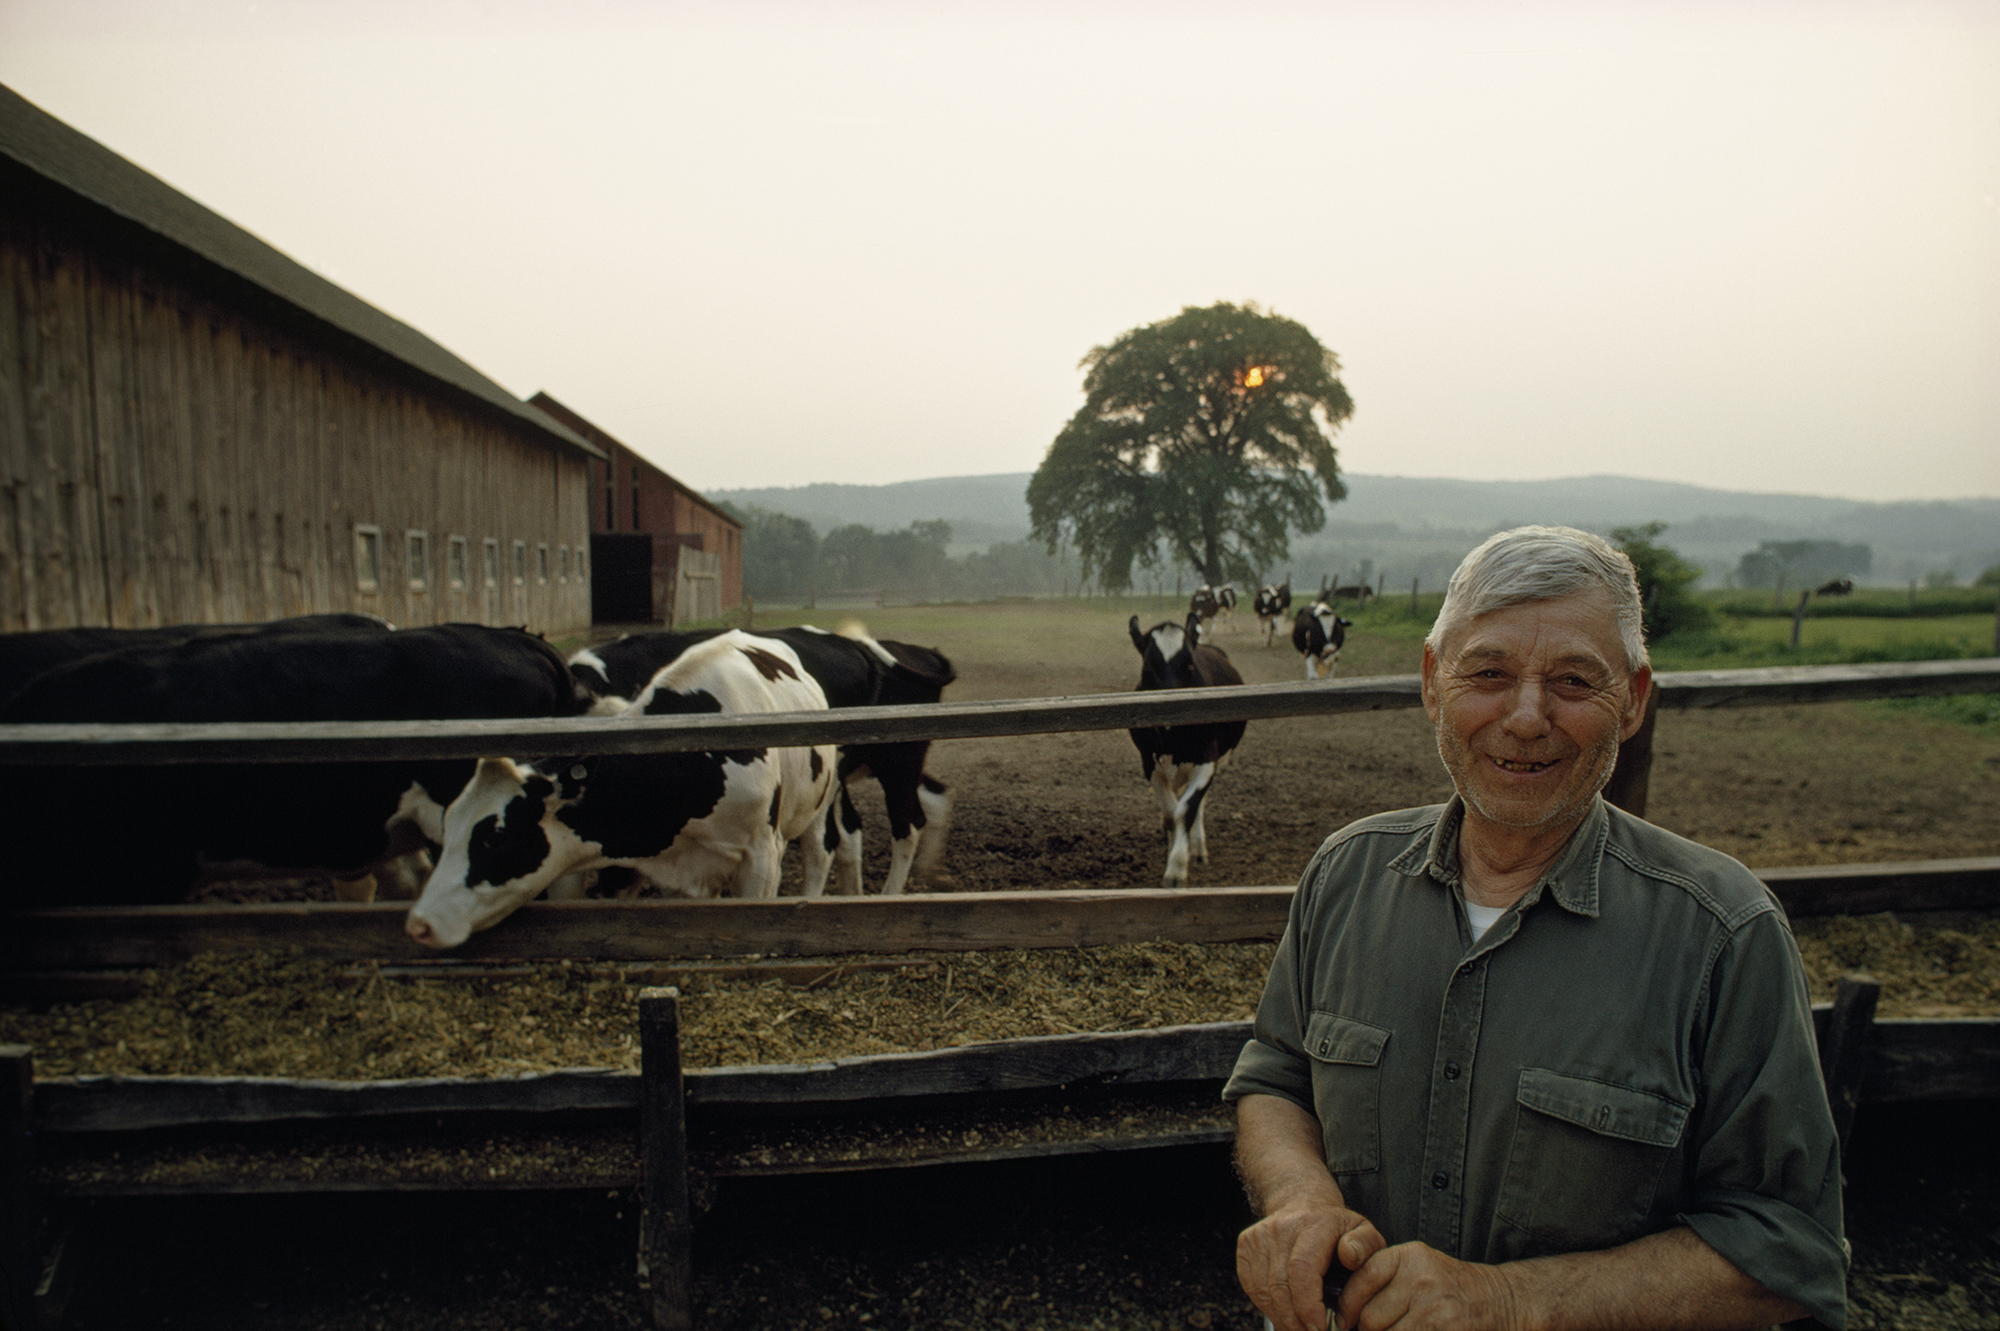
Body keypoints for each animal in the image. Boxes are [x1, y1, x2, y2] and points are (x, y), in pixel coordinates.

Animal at [1136, 615, 1240, 887]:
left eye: (1190, 664)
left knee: (1198, 802)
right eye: (1149, 664)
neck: (1175, 738)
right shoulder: (1149, 764)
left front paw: (1176, 868)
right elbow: (1171, 813)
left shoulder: (1207, 761)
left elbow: (1186, 809)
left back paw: (1198, 849)